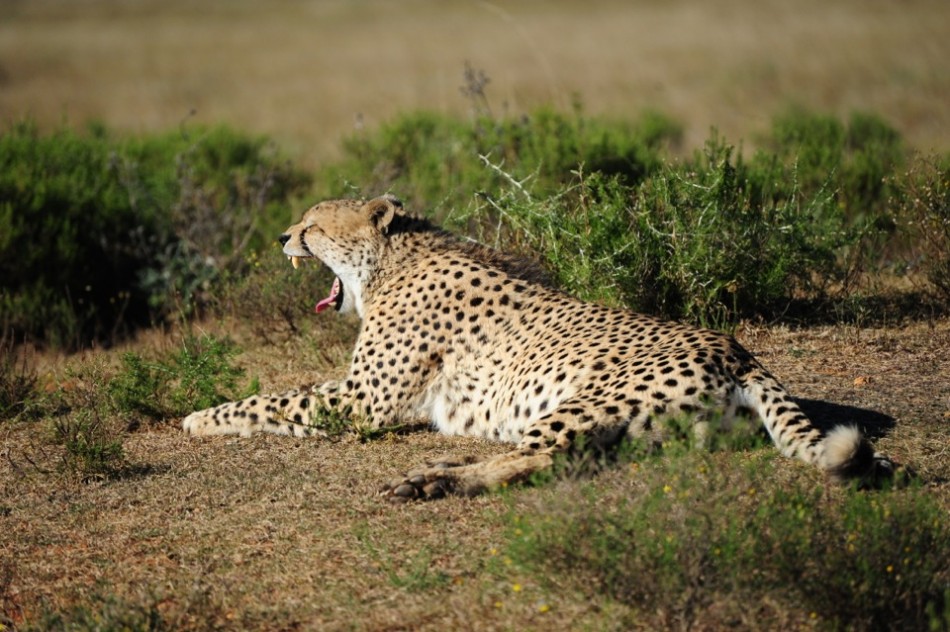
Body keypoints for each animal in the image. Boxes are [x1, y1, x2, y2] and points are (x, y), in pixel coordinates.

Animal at [182, 195, 894, 500]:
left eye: (314, 225)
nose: (283, 236)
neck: (395, 259)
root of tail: (736, 348)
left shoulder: (363, 403)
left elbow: (272, 400)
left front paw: (198, 417)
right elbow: (282, 397)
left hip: (580, 404)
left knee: (539, 459)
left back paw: (432, 480)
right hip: (644, 430)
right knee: (572, 461)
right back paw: (440, 472)